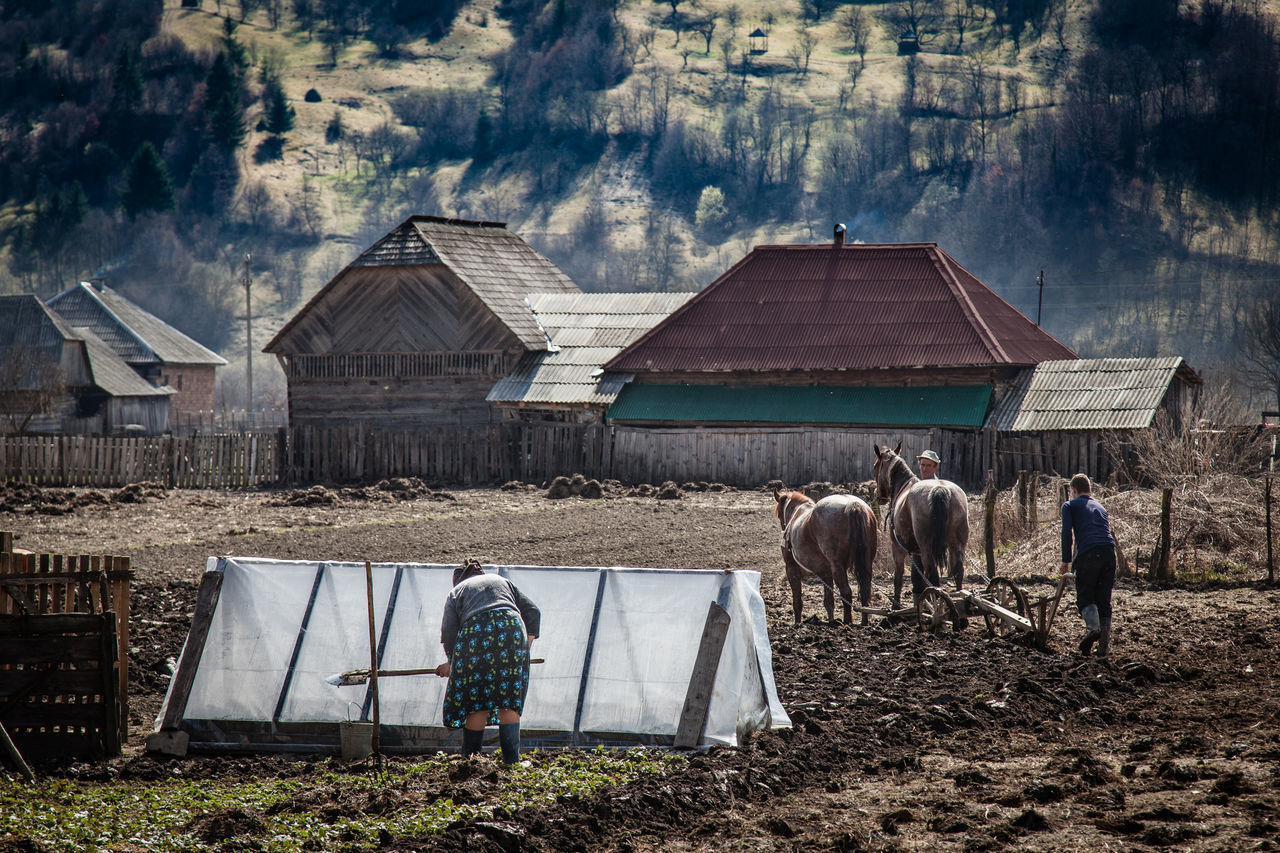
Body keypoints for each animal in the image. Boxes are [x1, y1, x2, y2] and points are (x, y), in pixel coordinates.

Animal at [773, 489, 875, 622]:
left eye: (779, 514)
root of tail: (853, 504)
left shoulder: (791, 569)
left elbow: (797, 601)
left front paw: (797, 623)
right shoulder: (826, 573)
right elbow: (829, 602)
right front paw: (831, 622)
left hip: (837, 566)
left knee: (846, 592)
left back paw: (847, 622)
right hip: (867, 562)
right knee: (864, 590)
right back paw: (864, 622)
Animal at [870, 440, 967, 607]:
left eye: (876, 466)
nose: (879, 496)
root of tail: (940, 489)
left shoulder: (897, 548)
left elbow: (899, 577)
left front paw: (896, 605)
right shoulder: (917, 552)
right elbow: (918, 578)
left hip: (928, 548)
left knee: (932, 574)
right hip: (957, 546)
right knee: (958, 572)